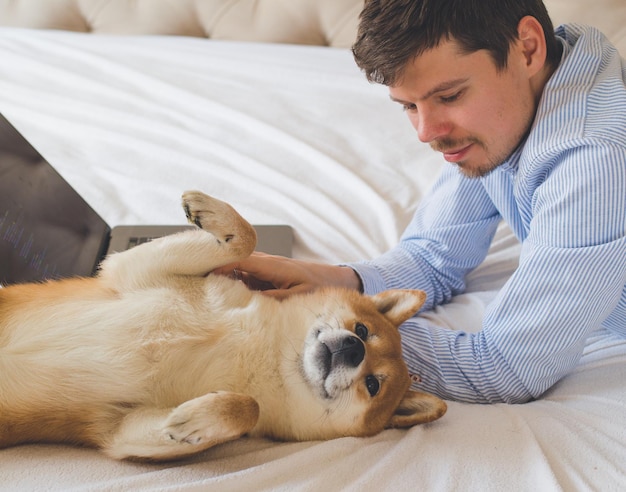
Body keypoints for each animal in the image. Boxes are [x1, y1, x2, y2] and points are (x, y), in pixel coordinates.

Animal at [2, 191, 446, 462]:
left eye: (372, 386)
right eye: (364, 330)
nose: (353, 348)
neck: (261, 350)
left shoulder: (117, 429)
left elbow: (246, 408)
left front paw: (195, 421)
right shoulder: (133, 271)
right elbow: (246, 239)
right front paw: (209, 212)